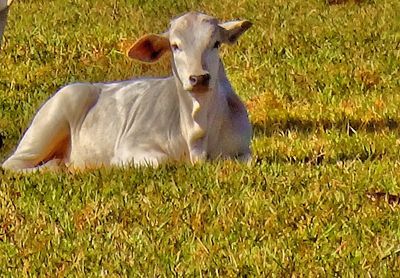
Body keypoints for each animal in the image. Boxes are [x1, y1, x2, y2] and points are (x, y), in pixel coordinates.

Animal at [2, 12, 253, 172]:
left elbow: (242, 159)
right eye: (175, 46)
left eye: (216, 44)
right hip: (44, 129)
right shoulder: (130, 146)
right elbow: (161, 161)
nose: (199, 77)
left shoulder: (244, 148)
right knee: (11, 165)